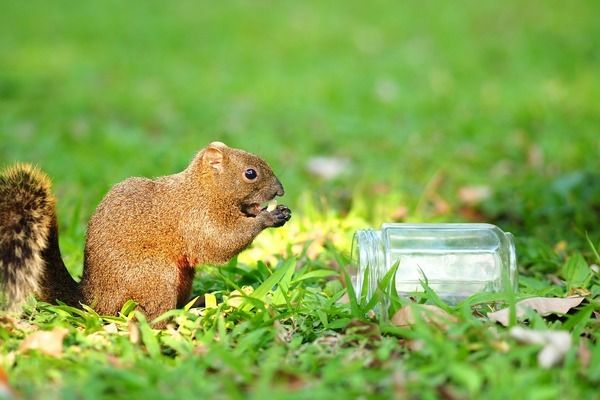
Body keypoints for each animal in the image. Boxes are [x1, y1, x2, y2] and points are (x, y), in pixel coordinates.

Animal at [0, 142, 290, 320]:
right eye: (250, 173)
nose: (280, 190)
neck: (202, 189)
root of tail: (93, 300)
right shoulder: (196, 218)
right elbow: (220, 243)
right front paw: (269, 217)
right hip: (156, 276)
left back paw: (196, 305)